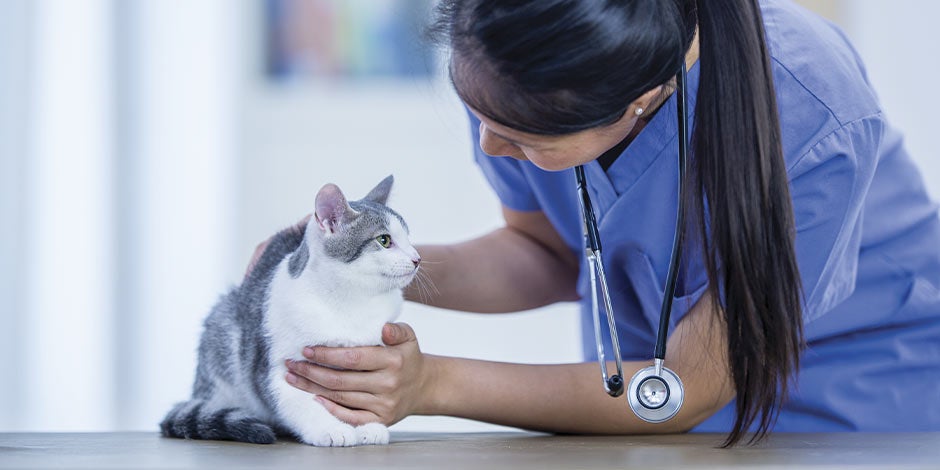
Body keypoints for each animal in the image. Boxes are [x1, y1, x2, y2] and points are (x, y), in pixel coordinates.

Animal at [161, 174, 418, 446]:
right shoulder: (275, 369)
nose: (417, 258)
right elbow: (301, 404)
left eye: (409, 238)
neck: (351, 301)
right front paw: (330, 428)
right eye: (384, 240)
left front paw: (366, 425)